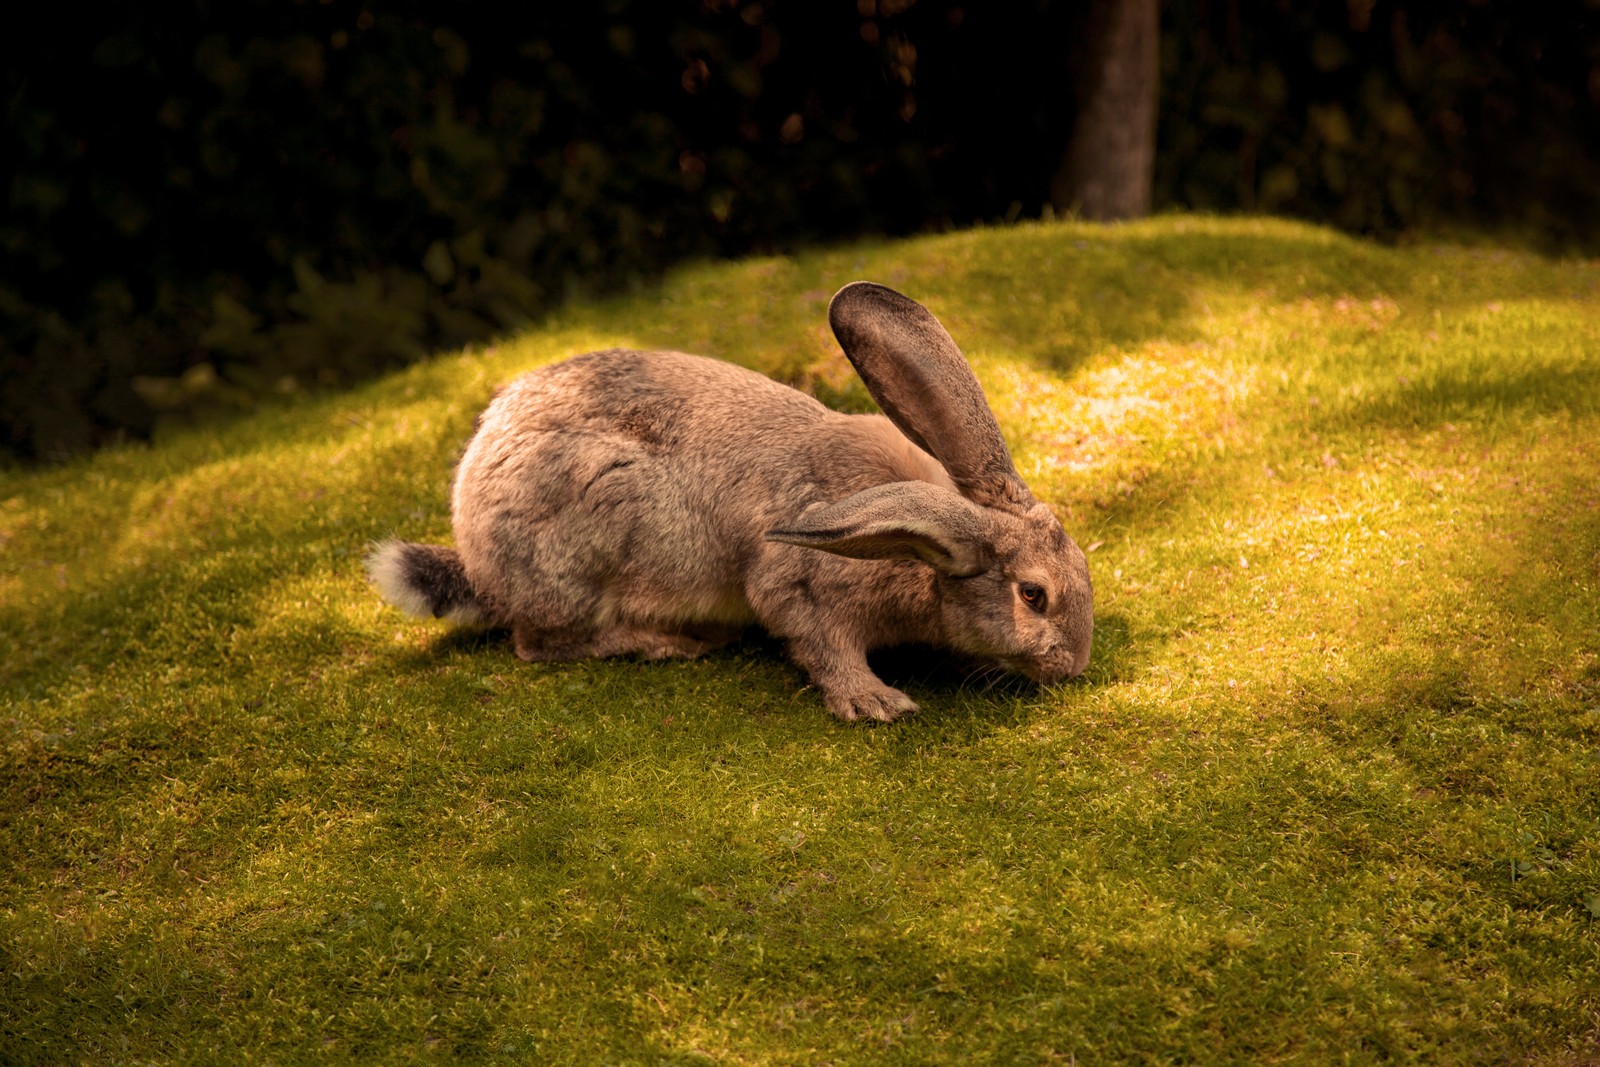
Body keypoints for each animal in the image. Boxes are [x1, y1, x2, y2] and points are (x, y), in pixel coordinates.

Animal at [368, 279, 1094, 723]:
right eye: (1034, 595)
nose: (1075, 665)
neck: (924, 546)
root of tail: (478, 559)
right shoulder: (801, 587)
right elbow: (820, 642)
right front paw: (876, 701)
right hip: (588, 533)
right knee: (541, 643)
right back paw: (668, 643)